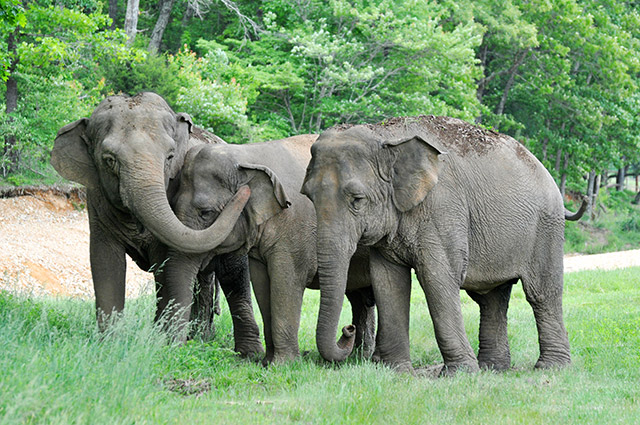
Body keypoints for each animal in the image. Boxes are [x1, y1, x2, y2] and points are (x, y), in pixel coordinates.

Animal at [49, 92, 264, 354]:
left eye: (170, 157)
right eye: (109, 160)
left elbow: (165, 266)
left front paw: (157, 342)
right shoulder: (96, 201)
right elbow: (105, 262)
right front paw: (110, 344)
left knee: (233, 275)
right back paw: (200, 337)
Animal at [134, 137, 376, 364]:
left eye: (206, 213)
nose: (174, 348)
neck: (246, 155)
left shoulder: (296, 228)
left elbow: (286, 280)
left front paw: (282, 365)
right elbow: (261, 282)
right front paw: (267, 362)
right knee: (361, 298)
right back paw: (360, 356)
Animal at [302, 115, 588, 374]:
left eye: (357, 200)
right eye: (308, 197)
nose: (348, 328)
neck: (387, 134)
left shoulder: (443, 208)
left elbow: (437, 277)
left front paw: (459, 373)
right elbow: (387, 282)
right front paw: (395, 371)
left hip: (546, 227)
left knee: (541, 293)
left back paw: (550, 368)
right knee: (492, 298)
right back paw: (493, 369)